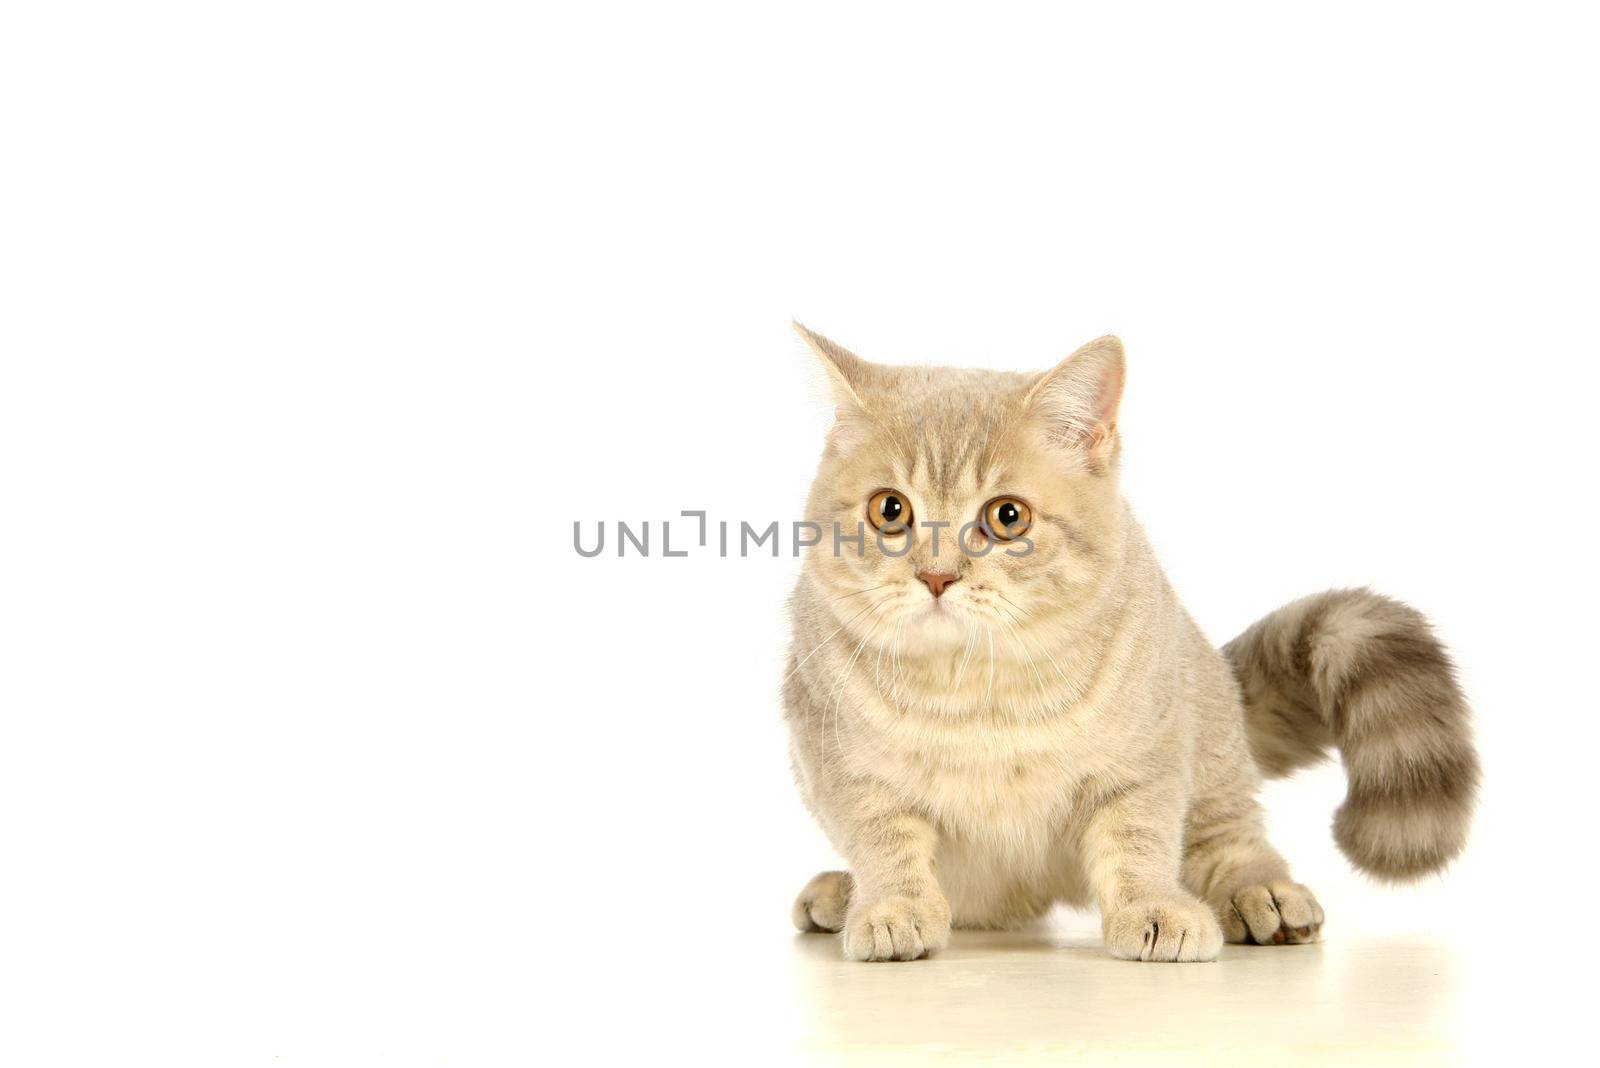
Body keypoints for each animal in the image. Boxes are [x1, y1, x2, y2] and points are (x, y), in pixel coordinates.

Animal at [784, 322, 1472, 959]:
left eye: (1008, 517)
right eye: (889, 510)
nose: (936, 575)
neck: (978, 687)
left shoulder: (1146, 755)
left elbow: (1137, 839)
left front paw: (1154, 908)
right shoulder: (842, 764)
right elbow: (885, 842)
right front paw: (891, 906)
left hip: (1212, 736)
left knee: (1229, 834)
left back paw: (1260, 892)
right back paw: (841, 893)